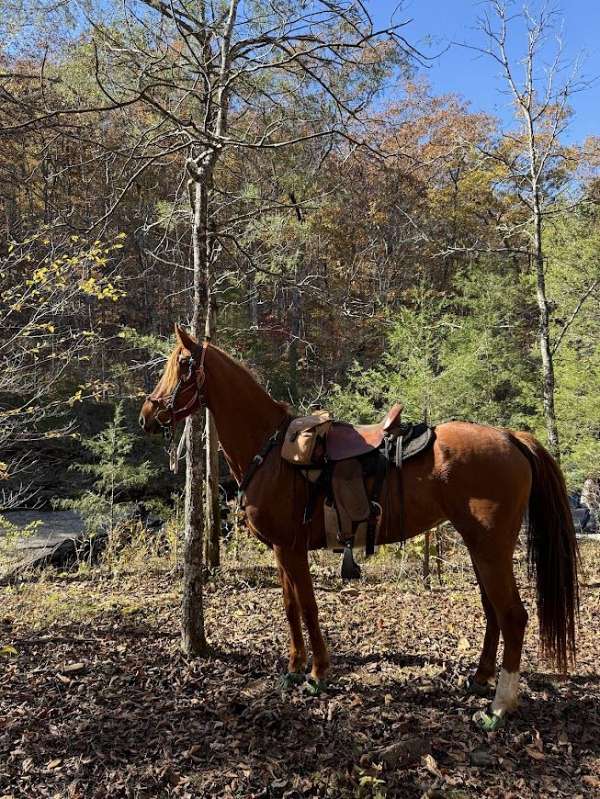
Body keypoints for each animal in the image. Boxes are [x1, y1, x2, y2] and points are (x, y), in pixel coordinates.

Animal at [139, 325, 579, 731]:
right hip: (478, 545)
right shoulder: (281, 550)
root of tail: (510, 437)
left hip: (491, 546)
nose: (147, 415)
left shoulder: (291, 549)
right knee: (493, 611)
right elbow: (290, 607)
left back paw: (499, 707)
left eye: (182, 364)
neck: (272, 454)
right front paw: (294, 669)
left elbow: (308, 607)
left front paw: (317, 675)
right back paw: (479, 678)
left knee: (513, 615)